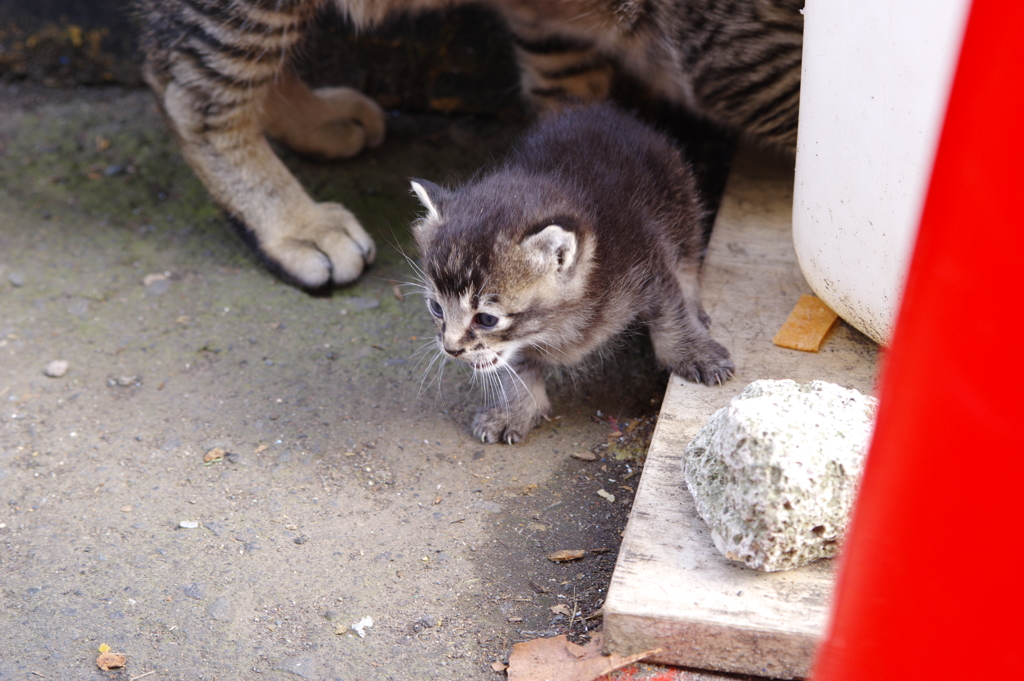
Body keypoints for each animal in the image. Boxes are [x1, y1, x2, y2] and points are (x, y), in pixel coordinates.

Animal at [136, 0, 802, 286]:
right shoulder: (741, 54)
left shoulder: (554, 29)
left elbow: (570, 109)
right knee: (188, 87)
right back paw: (291, 223)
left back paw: (314, 120)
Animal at [411, 100, 733, 440]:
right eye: (436, 307)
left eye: (486, 319)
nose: (450, 349)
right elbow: (516, 364)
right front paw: (517, 411)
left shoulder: (648, 260)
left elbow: (671, 314)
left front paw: (693, 353)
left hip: (679, 202)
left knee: (688, 258)